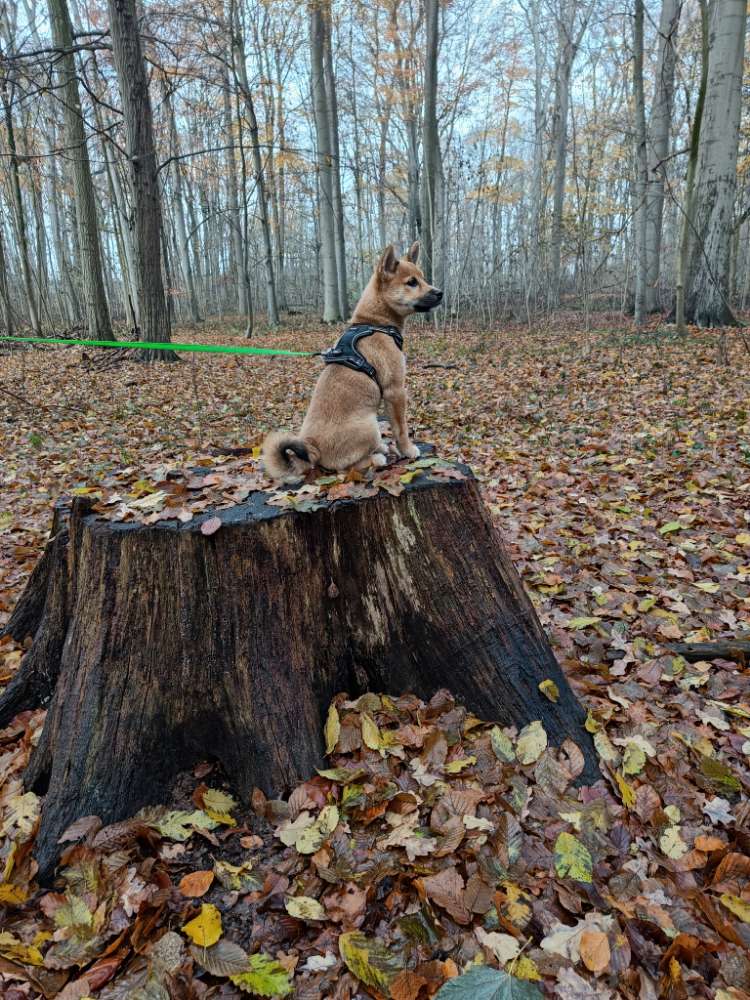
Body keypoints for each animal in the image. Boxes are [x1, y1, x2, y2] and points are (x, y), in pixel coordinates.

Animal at [262, 238, 444, 480]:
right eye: (411, 282)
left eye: (422, 278)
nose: (440, 293)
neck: (374, 322)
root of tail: (313, 447)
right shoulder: (395, 391)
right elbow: (401, 429)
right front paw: (407, 450)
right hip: (370, 424)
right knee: (347, 467)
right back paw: (377, 457)